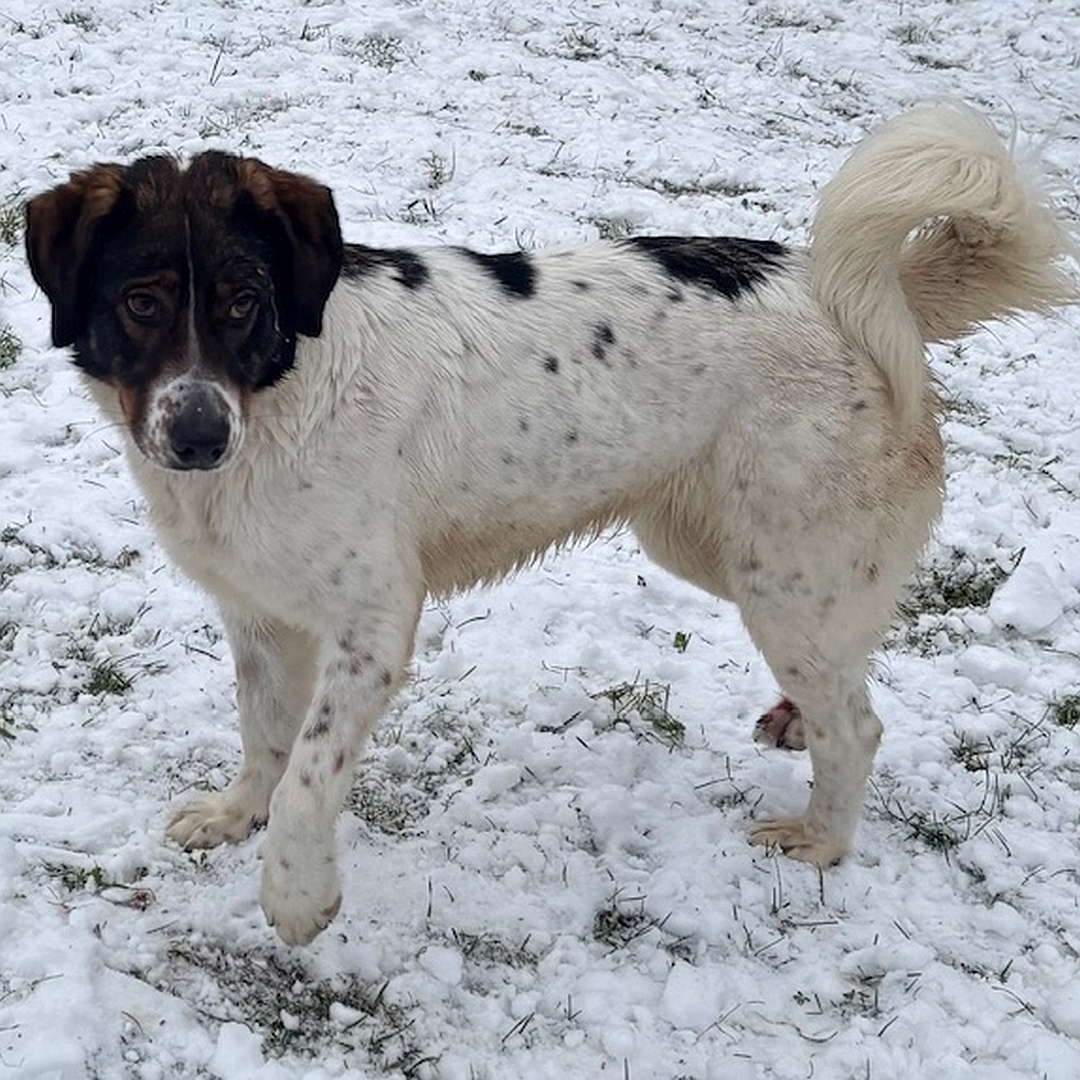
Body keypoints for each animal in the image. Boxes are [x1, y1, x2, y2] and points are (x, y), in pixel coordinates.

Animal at [27, 103, 1080, 946]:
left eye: (245, 300)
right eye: (142, 301)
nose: (198, 437)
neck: (281, 392)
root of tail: (849, 290)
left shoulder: (372, 625)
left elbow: (309, 773)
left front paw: (295, 895)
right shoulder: (258, 614)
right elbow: (265, 739)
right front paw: (235, 814)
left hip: (780, 576)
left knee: (858, 723)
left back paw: (821, 838)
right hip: (722, 553)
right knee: (856, 647)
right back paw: (795, 722)